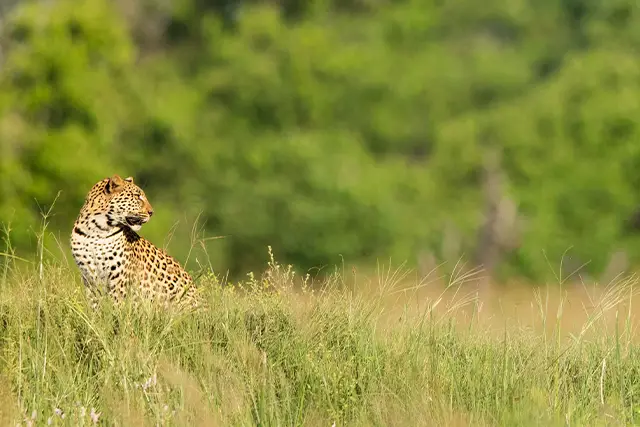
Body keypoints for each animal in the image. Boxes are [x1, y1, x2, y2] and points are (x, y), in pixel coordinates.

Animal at [70, 174, 199, 309]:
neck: (96, 230)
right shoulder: (88, 277)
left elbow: (117, 306)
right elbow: (94, 304)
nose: (151, 212)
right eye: (137, 196)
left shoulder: (120, 279)